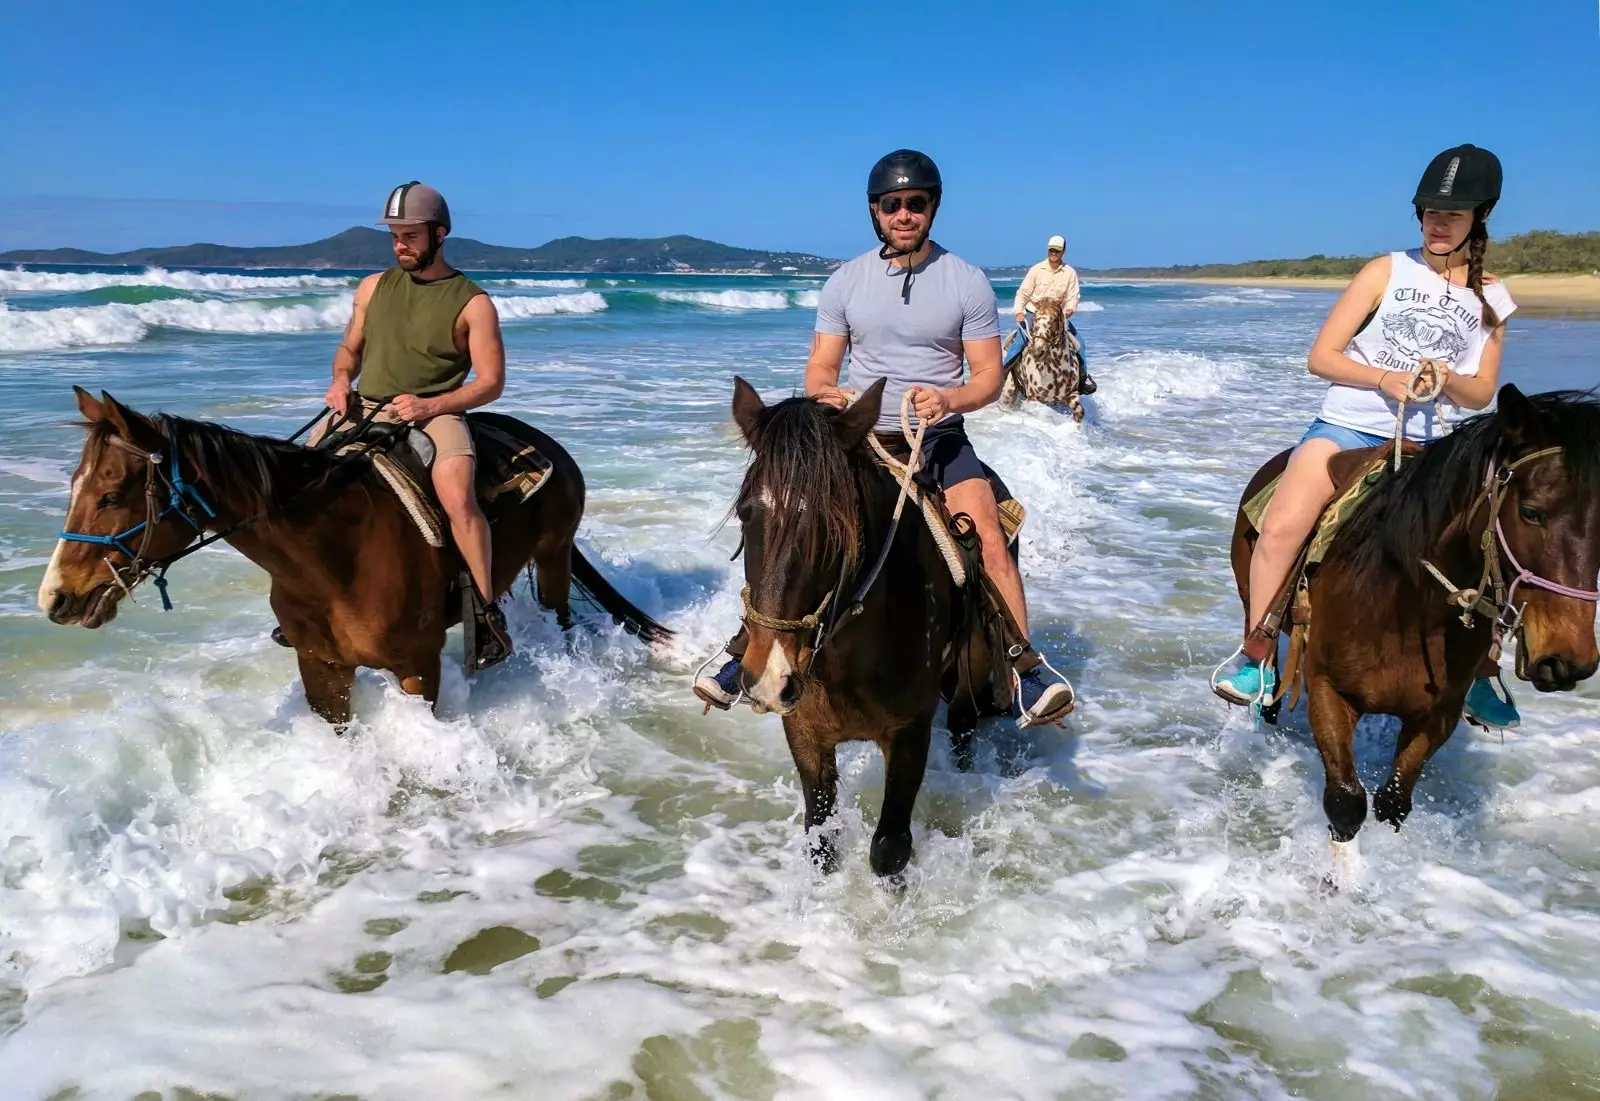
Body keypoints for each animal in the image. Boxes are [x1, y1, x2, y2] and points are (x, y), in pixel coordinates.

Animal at [36, 392, 675, 726]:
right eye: (73, 486)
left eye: (111, 496)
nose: (55, 598)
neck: (332, 563)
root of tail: (551, 448)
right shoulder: (320, 670)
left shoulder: (418, 669)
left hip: (553, 558)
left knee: (561, 617)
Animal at [729, 377, 1004, 876]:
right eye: (746, 512)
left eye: (831, 524)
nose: (769, 677)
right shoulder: (804, 731)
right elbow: (821, 842)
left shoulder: (910, 733)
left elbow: (890, 848)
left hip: (966, 690)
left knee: (963, 731)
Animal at [1235, 387, 1600, 844]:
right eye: (1531, 512)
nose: (1568, 661)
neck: (1404, 608)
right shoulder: (1326, 689)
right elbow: (1345, 803)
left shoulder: (1437, 715)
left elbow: (1393, 803)